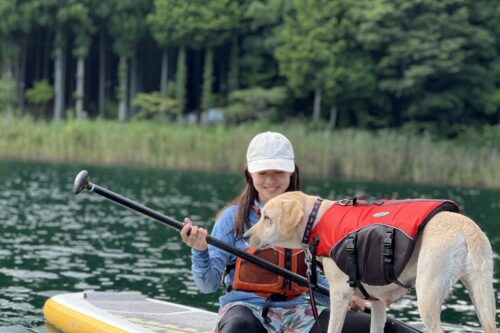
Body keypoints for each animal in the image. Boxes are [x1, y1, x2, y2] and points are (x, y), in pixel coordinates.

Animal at [243, 191, 496, 332]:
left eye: (267, 217)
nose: (245, 236)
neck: (316, 221)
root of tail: (466, 227)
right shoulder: (377, 301)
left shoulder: (340, 294)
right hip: (482, 297)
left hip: (427, 296)